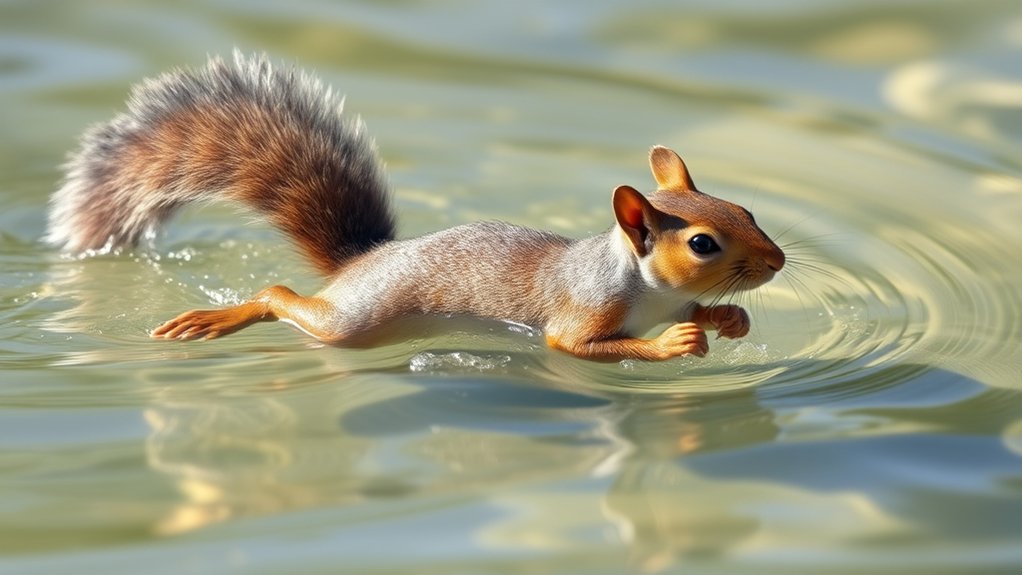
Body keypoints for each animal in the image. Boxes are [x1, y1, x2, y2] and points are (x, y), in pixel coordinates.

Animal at [46, 51, 785, 362]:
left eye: (746, 210)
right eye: (702, 243)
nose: (777, 261)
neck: (646, 288)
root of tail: (362, 262)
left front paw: (727, 319)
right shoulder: (583, 311)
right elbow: (570, 345)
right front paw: (675, 342)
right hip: (356, 320)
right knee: (282, 296)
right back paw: (223, 317)